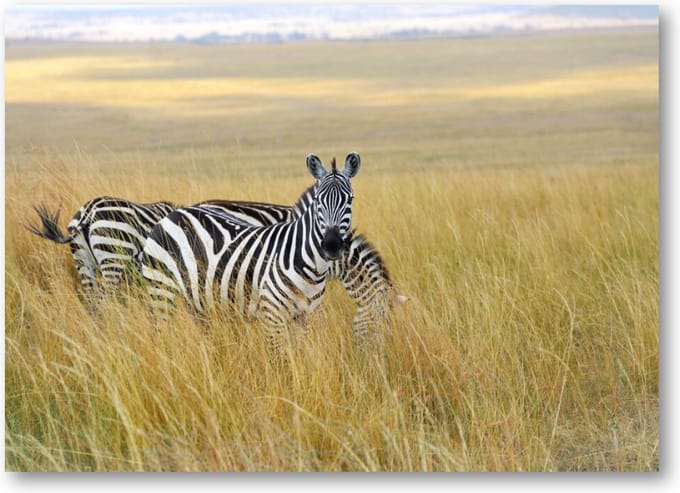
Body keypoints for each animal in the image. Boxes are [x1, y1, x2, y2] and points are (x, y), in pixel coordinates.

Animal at [141, 152, 369, 353]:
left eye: (350, 199)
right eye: (319, 201)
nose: (331, 245)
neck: (309, 267)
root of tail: (173, 214)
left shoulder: (305, 316)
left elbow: (300, 356)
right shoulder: (272, 316)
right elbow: (280, 361)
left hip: (197, 300)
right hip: (160, 290)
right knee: (161, 336)